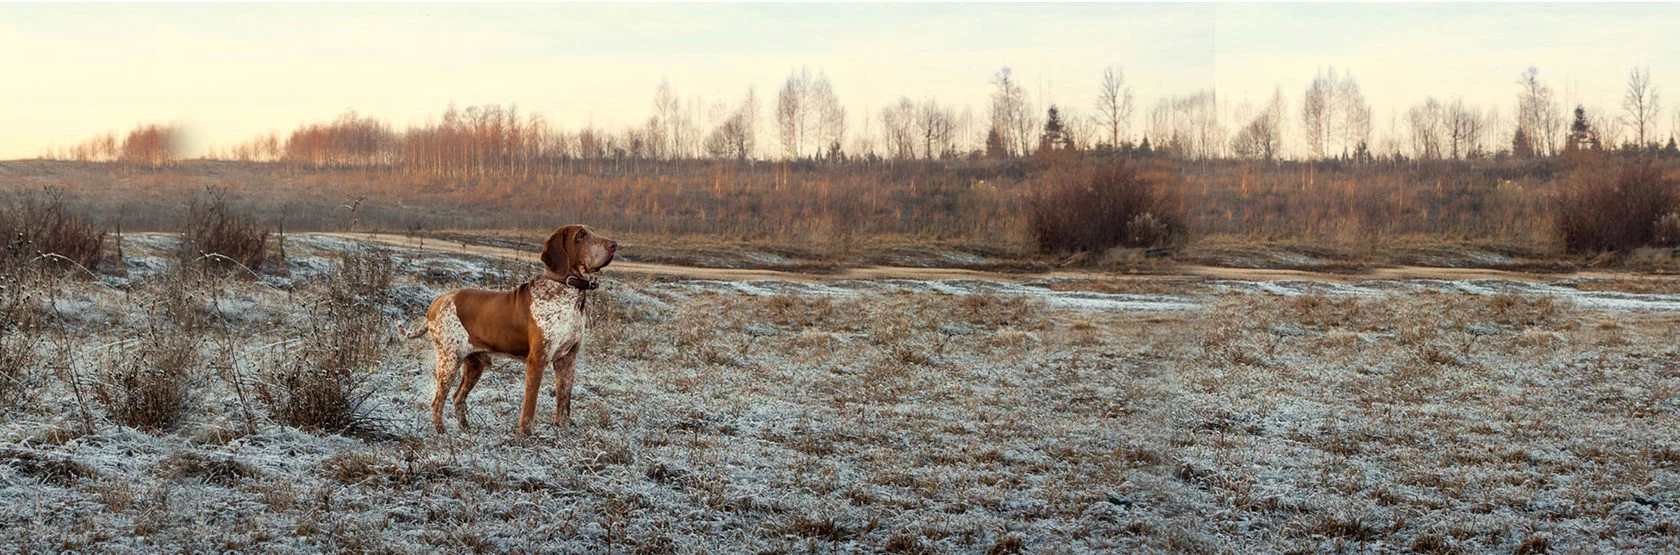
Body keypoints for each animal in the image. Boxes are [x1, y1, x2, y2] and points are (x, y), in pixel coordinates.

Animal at [404, 223, 618, 437]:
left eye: (593, 231)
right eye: (581, 236)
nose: (614, 244)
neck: (567, 291)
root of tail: (436, 302)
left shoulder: (567, 361)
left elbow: (564, 404)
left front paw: (564, 434)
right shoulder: (537, 361)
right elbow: (529, 408)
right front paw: (525, 437)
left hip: (474, 365)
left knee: (458, 397)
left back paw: (466, 429)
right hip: (449, 361)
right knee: (437, 402)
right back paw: (441, 432)